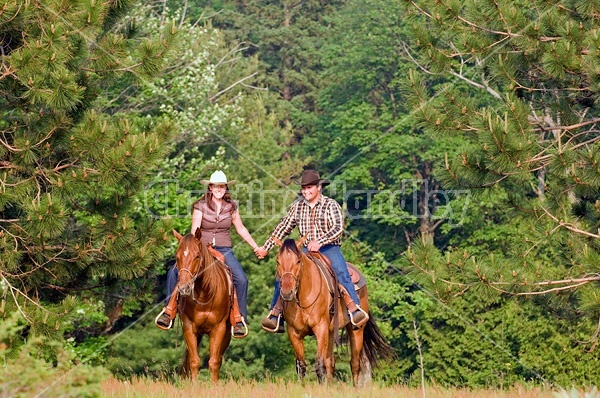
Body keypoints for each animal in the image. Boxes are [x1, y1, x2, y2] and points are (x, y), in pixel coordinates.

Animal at [173, 230, 232, 382]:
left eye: (197, 256)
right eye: (177, 257)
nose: (184, 287)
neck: (206, 293)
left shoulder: (219, 328)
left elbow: (214, 362)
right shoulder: (188, 327)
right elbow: (194, 361)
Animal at [276, 238, 394, 384]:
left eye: (298, 261)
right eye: (278, 261)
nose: (287, 292)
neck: (304, 297)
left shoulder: (320, 329)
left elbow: (319, 365)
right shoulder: (293, 332)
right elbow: (301, 366)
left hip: (356, 329)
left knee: (355, 364)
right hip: (331, 331)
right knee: (331, 363)